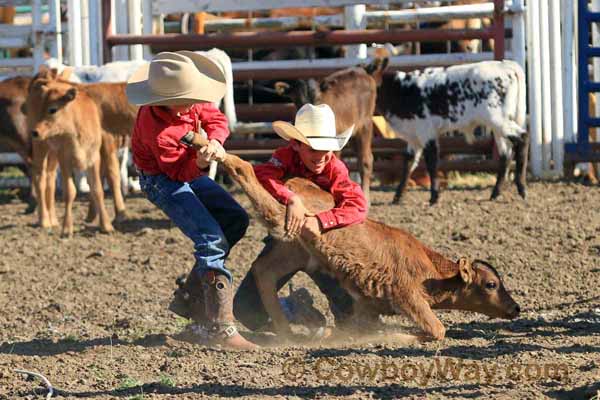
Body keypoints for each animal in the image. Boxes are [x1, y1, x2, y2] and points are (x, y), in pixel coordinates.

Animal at [183, 134, 520, 340]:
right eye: (491, 284)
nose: (516, 308)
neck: (430, 271)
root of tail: (298, 181)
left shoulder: (367, 307)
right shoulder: (408, 296)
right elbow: (437, 330)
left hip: (293, 249)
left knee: (264, 272)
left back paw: (286, 330)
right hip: (276, 213)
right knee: (244, 170)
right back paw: (205, 144)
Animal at [368, 58, 528, 206]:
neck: (403, 91)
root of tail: (505, 64)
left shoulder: (427, 133)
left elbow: (431, 163)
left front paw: (434, 197)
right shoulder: (413, 136)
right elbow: (408, 164)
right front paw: (397, 197)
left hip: (499, 120)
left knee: (523, 138)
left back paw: (521, 188)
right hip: (498, 127)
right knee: (505, 155)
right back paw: (495, 193)